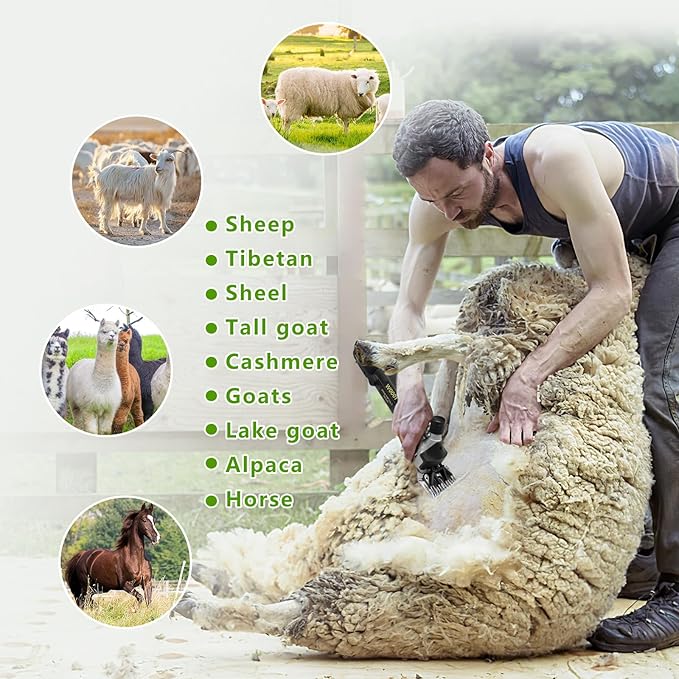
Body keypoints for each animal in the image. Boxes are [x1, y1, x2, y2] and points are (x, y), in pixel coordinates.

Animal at [176, 256, 652, 659]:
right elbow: (461, 355)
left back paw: (196, 602)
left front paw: (383, 356)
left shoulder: (519, 348)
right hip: (395, 590)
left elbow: (470, 347)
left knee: (295, 607)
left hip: (402, 605)